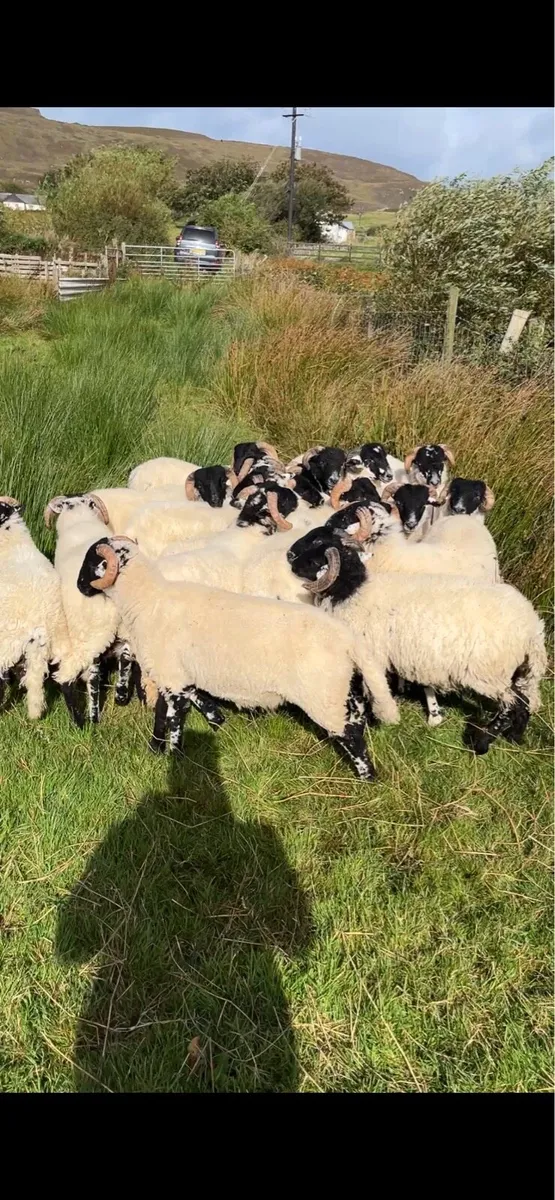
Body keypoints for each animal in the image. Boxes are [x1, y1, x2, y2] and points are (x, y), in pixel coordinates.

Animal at [76, 535, 400, 780]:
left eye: (93, 562)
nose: (79, 586)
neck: (147, 600)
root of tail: (347, 639)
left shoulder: (174, 676)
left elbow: (173, 718)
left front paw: (174, 756)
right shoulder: (175, 675)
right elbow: (164, 712)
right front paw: (159, 748)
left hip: (322, 694)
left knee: (349, 734)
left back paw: (367, 778)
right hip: (341, 686)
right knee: (357, 718)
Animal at [286, 523, 546, 753]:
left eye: (317, 544)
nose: (289, 555)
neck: (352, 590)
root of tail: (533, 628)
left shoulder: (372, 655)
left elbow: (371, 690)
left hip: (489, 673)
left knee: (512, 705)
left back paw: (482, 743)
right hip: (513, 671)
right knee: (524, 702)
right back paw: (515, 737)